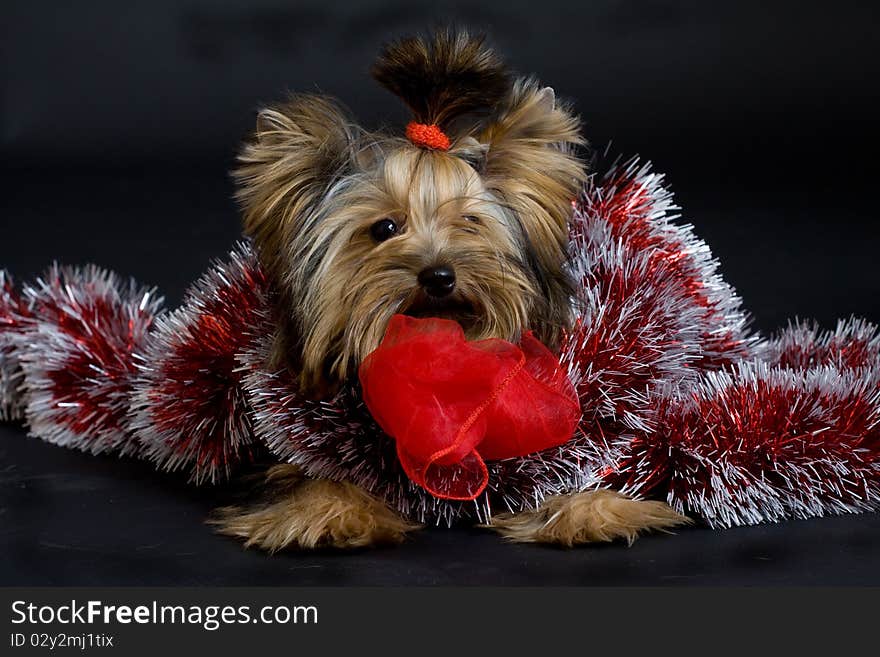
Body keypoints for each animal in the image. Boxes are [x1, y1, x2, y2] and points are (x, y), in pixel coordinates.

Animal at [215, 29, 688, 548]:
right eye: (384, 228)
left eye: (469, 223)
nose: (439, 275)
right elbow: (321, 480)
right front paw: (324, 513)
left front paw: (591, 513)